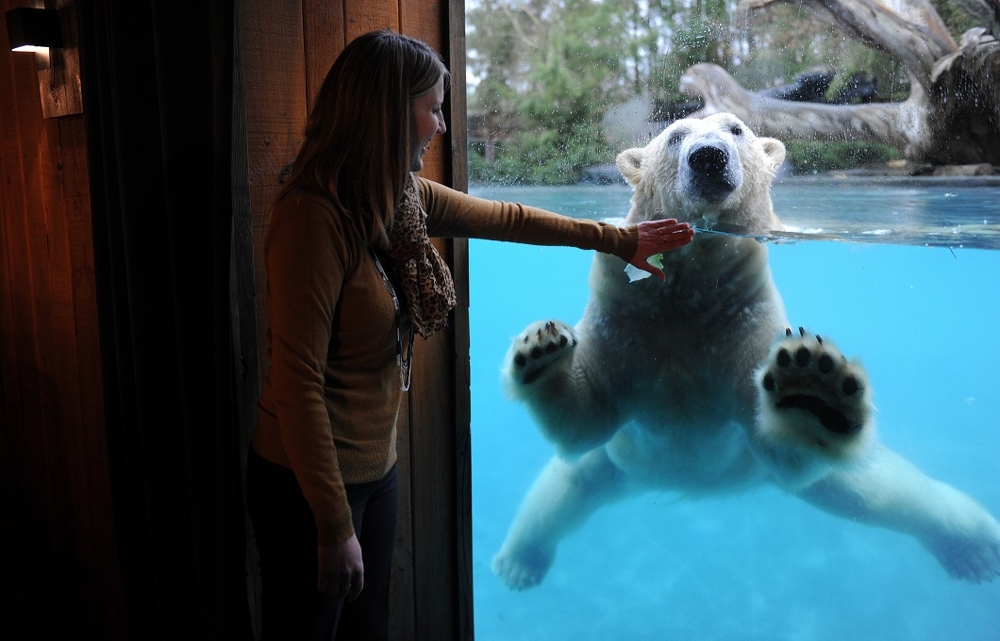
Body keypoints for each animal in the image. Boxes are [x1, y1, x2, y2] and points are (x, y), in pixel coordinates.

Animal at [492, 112, 1000, 588]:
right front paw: (541, 347)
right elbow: (588, 416)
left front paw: (812, 391)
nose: (708, 156)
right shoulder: (624, 313)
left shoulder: (742, 318)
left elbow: (777, 442)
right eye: (675, 136)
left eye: (736, 129)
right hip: (615, 465)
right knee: (565, 485)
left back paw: (973, 544)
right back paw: (520, 560)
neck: (685, 298)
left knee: (879, 491)